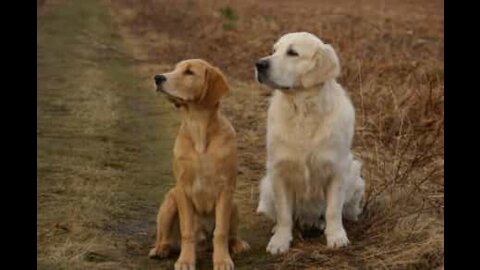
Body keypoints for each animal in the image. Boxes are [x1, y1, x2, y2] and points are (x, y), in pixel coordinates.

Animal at [149, 59, 249, 270]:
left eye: (189, 72)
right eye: (175, 69)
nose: (158, 77)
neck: (198, 128)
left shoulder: (225, 190)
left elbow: (220, 232)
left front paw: (222, 260)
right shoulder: (182, 189)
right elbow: (187, 231)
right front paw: (186, 260)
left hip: (234, 204)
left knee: (230, 235)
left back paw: (237, 244)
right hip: (169, 202)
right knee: (164, 237)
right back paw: (160, 249)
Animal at [255, 32, 364, 254]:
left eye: (292, 53)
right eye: (274, 50)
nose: (259, 64)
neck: (303, 111)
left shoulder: (337, 170)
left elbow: (333, 210)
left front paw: (336, 236)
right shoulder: (279, 171)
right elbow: (284, 214)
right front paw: (280, 240)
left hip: (355, 178)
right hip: (267, 185)